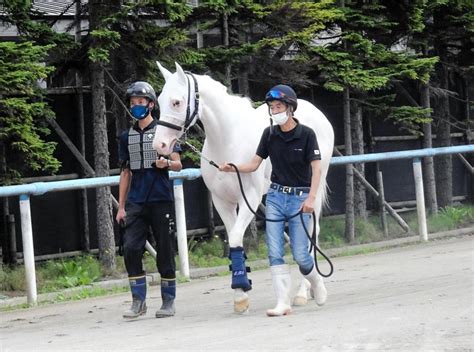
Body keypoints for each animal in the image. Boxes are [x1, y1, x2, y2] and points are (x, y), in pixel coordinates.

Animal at [152, 62, 334, 312]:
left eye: (177, 102)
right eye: (159, 101)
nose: (159, 145)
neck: (227, 140)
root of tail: (319, 114)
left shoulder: (249, 198)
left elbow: (237, 237)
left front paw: (240, 290)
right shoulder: (222, 201)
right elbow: (232, 238)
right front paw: (240, 294)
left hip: (311, 193)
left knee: (310, 234)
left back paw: (304, 292)